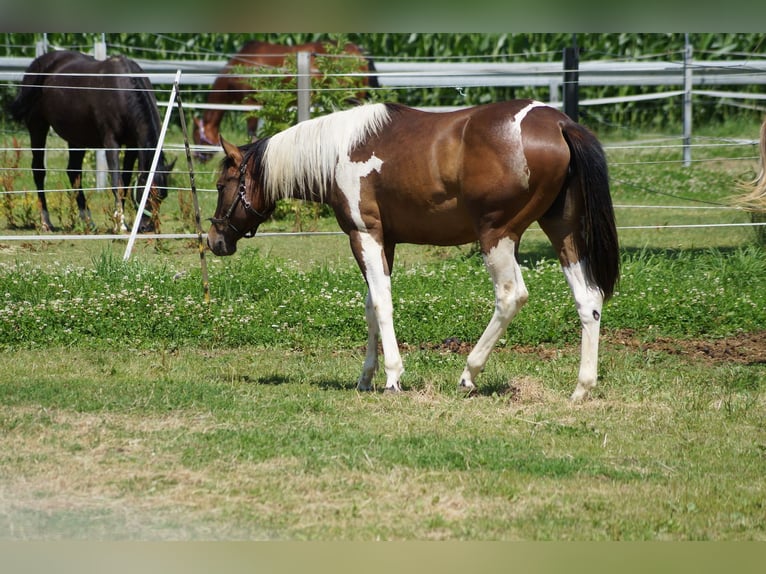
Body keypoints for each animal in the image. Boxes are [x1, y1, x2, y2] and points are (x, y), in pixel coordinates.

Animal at [7, 48, 176, 231]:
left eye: (163, 196)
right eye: (147, 193)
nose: (147, 227)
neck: (122, 91)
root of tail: (38, 63)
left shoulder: (132, 145)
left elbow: (125, 180)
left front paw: (119, 220)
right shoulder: (111, 142)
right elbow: (117, 182)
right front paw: (121, 225)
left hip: (76, 137)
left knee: (73, 171)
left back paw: (88, 220)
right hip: (37, 127)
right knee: (39, 170)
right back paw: (46, 222)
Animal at [208, 101, 624, 402]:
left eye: (222, 184)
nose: (214, 240)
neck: (339, 153)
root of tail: (558, 123)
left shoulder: (364, 235)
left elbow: (382, 304)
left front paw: (392, 376)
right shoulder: (384, 241)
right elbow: (371, 304)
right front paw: (365, 377)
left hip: (498, 236)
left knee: (511, 296)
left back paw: (469, 374)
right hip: (563, 233)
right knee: (588, 300)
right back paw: (581, 388)